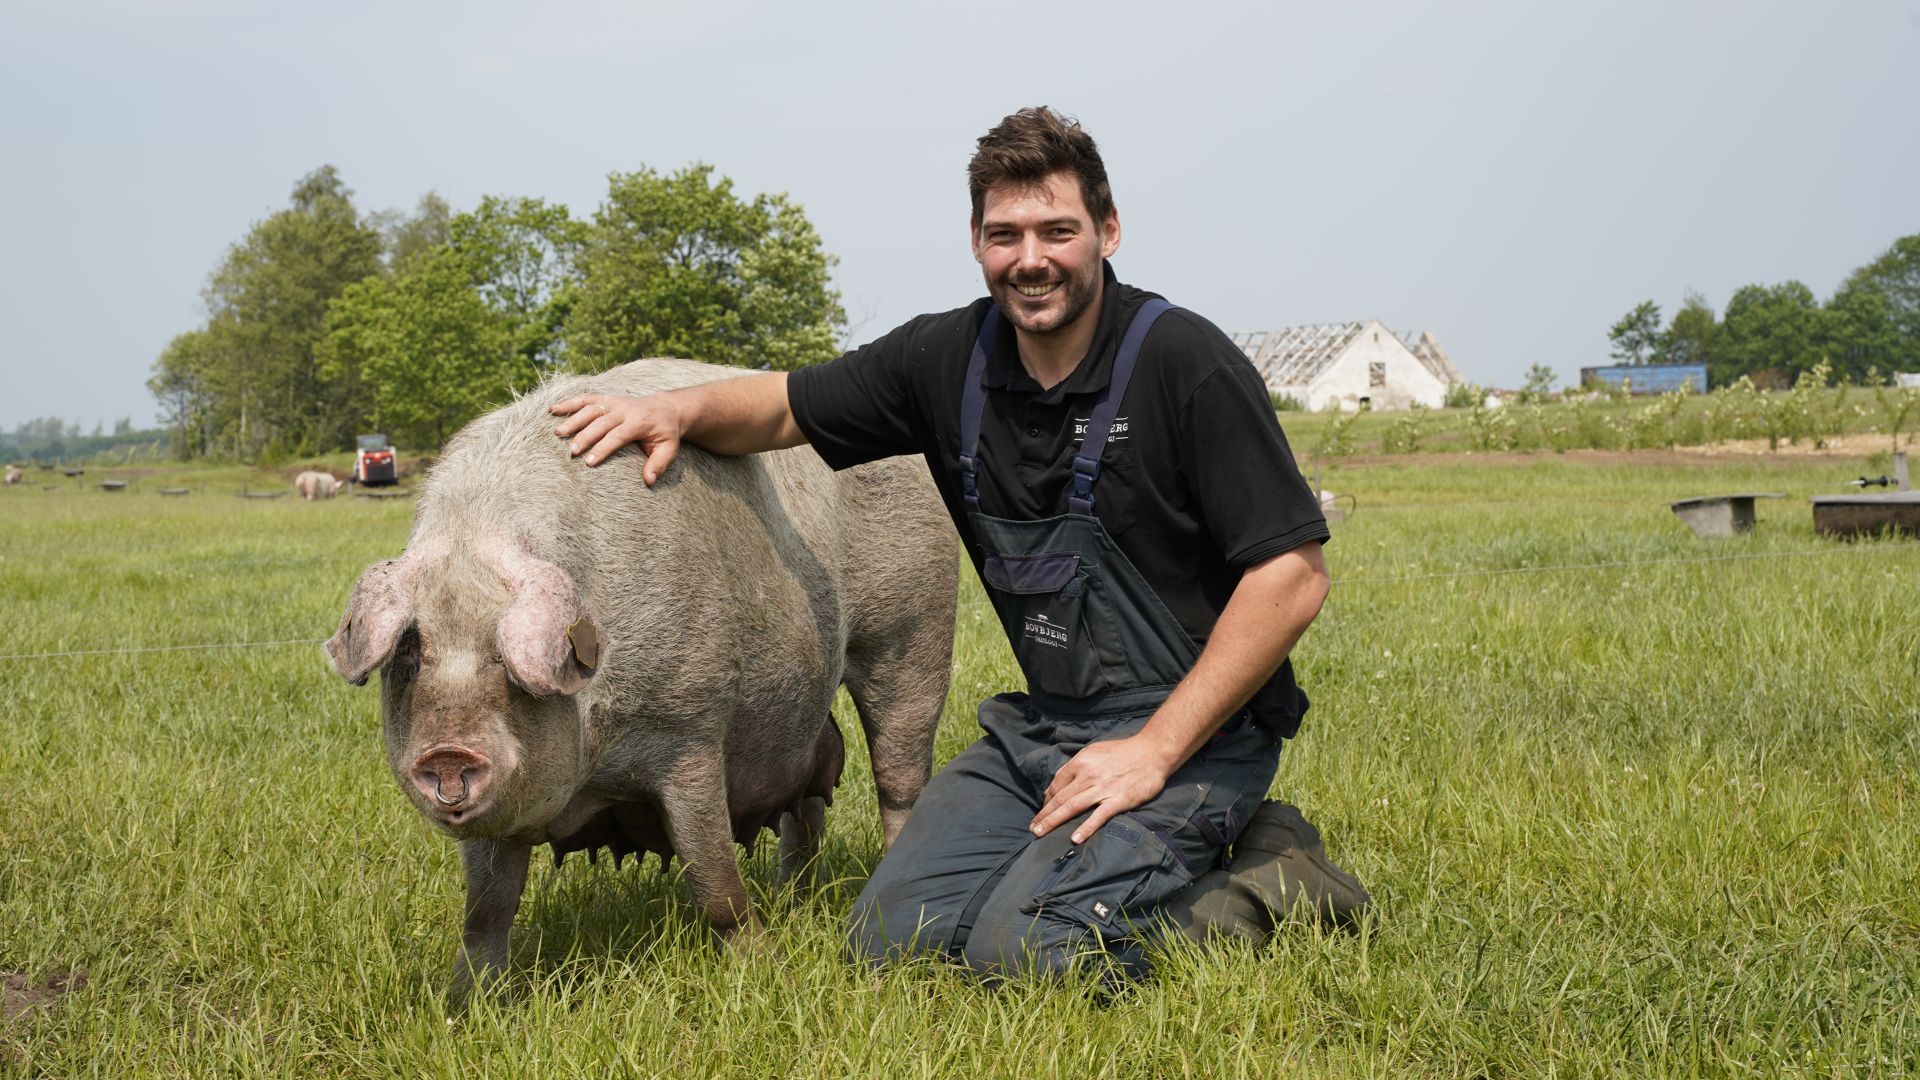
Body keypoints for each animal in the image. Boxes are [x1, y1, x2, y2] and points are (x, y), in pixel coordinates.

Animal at [336, 359, 960, 999]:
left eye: (501, 658)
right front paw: (466, 1003)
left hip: (914, 628)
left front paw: (760, 971)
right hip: (805, 704)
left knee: (899, 775)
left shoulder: (692, 726)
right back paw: (791, 895)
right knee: (806, 802)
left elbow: (713, 877)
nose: (448, 752)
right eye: (409, 656)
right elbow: (486, 909)